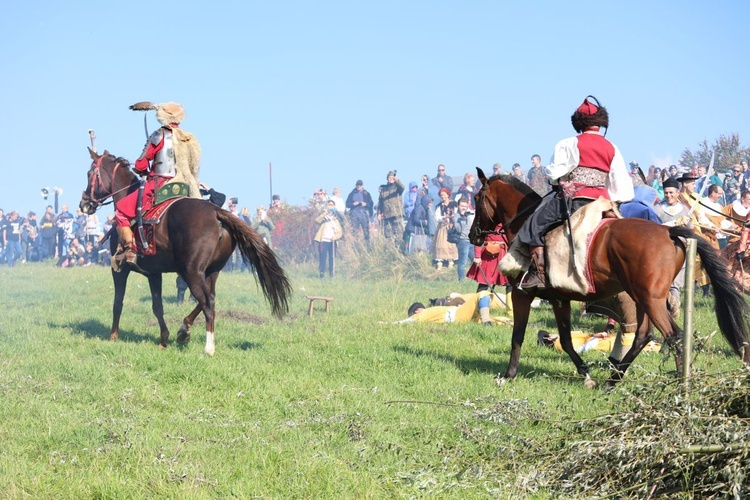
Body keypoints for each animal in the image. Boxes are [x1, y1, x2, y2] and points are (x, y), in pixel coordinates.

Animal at [79, 148, 290, 356]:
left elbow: (118, 303)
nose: (84, 204)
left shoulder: (120, 270)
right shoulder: (154, 274)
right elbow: (157, 306)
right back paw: (184, 330)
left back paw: (208, 347)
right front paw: (164, 339)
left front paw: (113, 336)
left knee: (207, 304)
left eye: (90, 174)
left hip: (192, 272)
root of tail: (216, 213)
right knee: (209, 299)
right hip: (210, 272)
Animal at [470, 168, 750, 386]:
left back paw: (681, 386)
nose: (474, 235)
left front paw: (508, 375)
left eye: (477, 197)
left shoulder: (522, 294)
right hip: (643, 299)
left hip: (650, 300)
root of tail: (669, 232)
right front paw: (586, 375)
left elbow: (517, 335)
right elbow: (566, 340)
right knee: (643, 335)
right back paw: (612, 381)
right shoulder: (559, 299)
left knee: (672, 336)